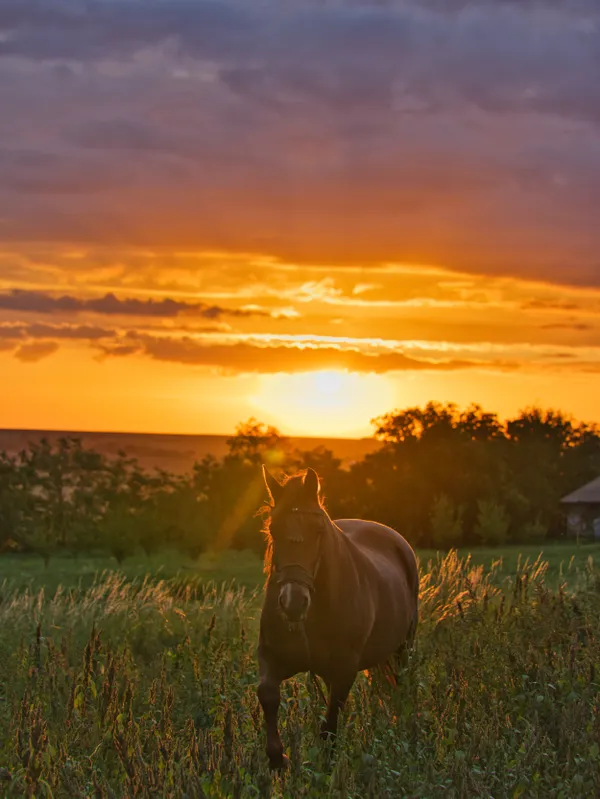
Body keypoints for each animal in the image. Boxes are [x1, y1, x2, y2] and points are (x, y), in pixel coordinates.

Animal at [257, 466, 419, 770]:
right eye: (273, 528)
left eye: (319, 530)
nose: (294, 602)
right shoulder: (272, 657)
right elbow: (268, 695)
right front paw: (277, 759)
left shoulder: (345, 670)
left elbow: (329, 727)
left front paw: (325, 770)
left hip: (402, 650)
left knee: (402, 689)